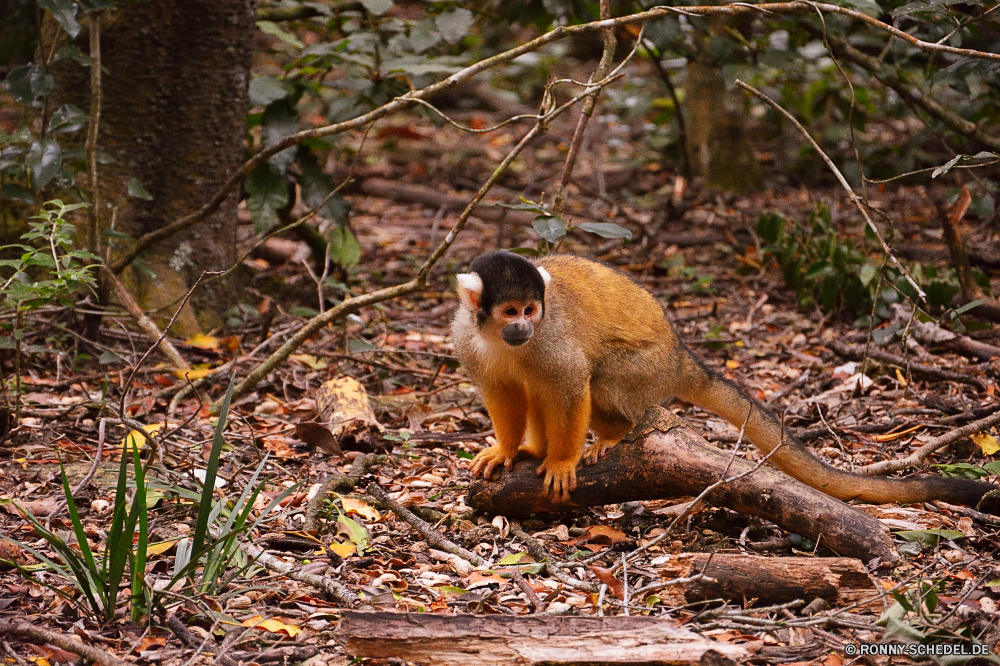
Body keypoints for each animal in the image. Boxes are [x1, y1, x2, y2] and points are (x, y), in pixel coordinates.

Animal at [452, 250, 992, 504]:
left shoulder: (552, 338)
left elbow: (570, 386)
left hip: (649, 370)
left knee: (600, 381)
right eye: (509, 312)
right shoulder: (466, 336)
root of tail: (679, 354)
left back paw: (614, 434)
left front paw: (562, 461)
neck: (502, 339)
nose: (524, 326)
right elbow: (502, 391)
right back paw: (535, 448)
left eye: (531, 310)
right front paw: (508, 449)